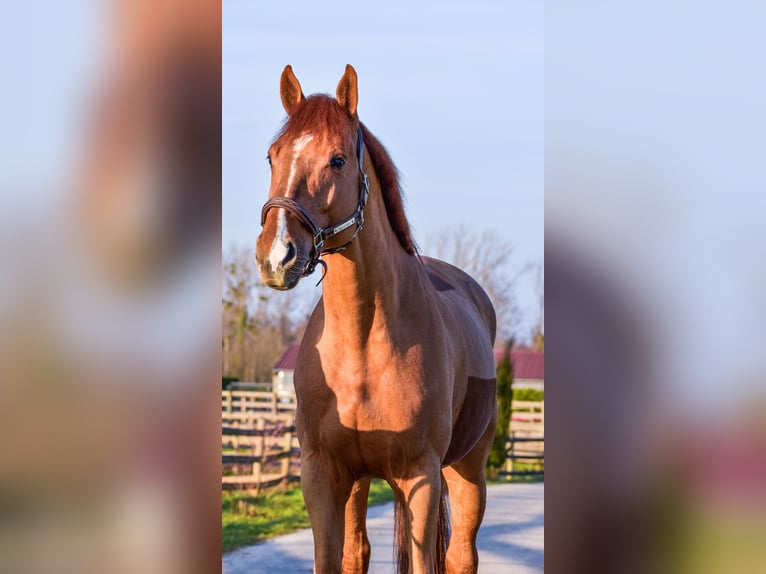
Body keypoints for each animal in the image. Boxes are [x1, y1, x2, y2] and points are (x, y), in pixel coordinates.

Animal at [255, 65, 498, 574]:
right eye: (272, 156)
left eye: (338, 160)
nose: (277, 256)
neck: (363, 343)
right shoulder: (323, 475)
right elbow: (335, 559)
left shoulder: (420, 476)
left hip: (466, 469)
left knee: (461, 555)